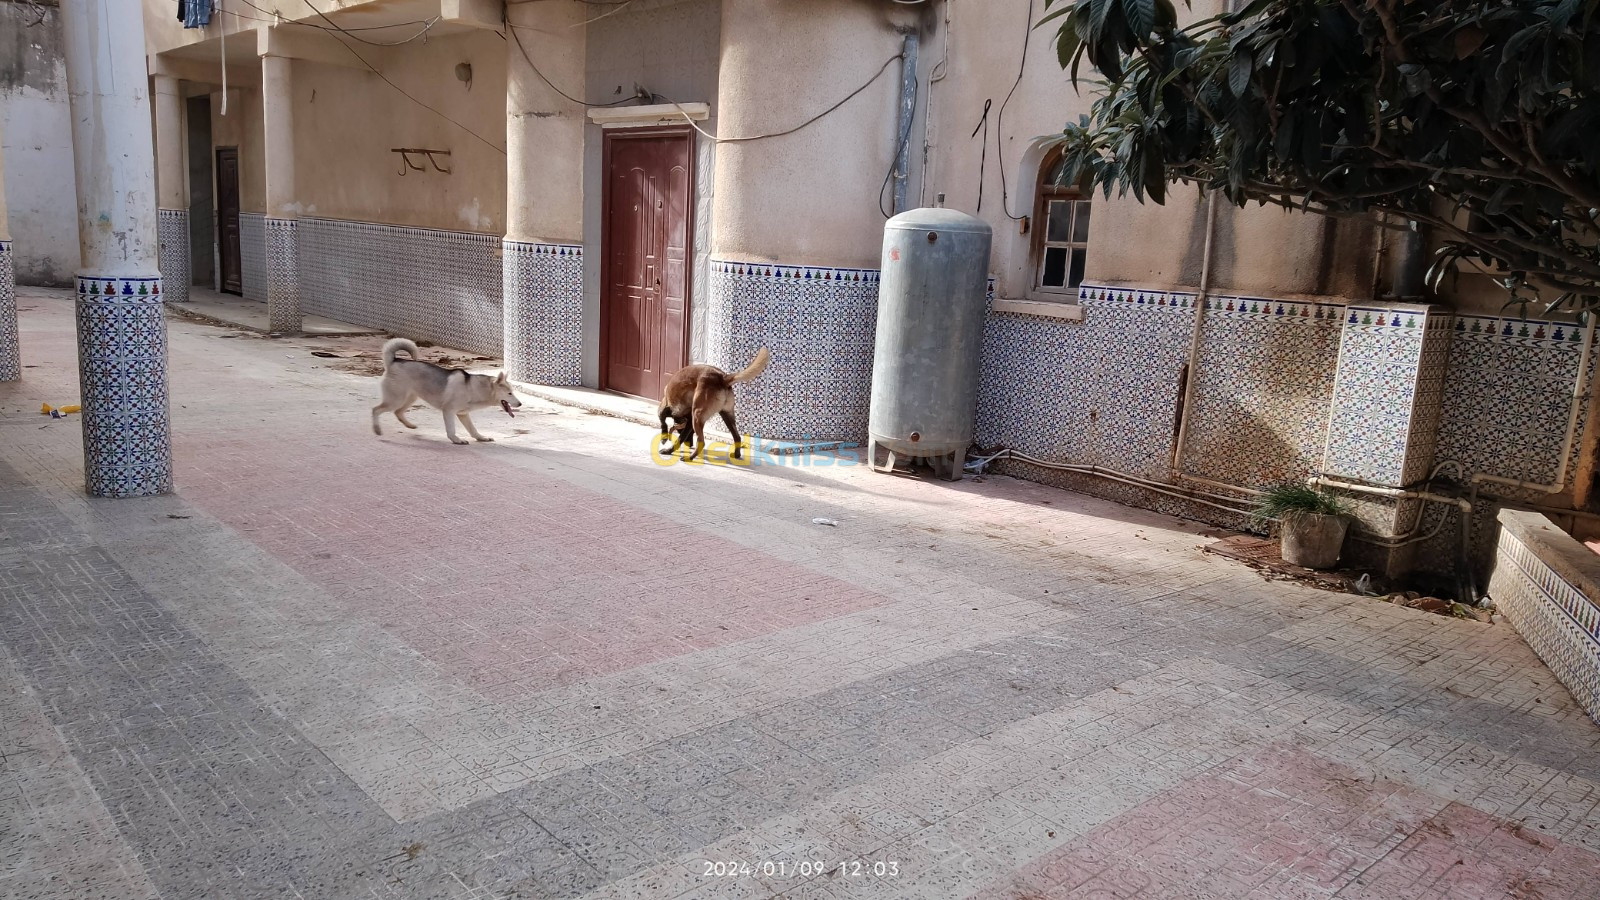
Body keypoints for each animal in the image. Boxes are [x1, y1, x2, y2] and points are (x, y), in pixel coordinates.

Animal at [371, 336, 521, 445]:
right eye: (509, 393)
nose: (520, 404)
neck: (471, 387)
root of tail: (394, 361)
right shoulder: (449, 411)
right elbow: (451, 429)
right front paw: (456, 440)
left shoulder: (463, 414)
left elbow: (473, 429)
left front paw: (481, 438)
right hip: (395, 400)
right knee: (376, 410)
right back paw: (377, 429)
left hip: (409, 398)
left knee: (398, 412)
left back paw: (410, 426)